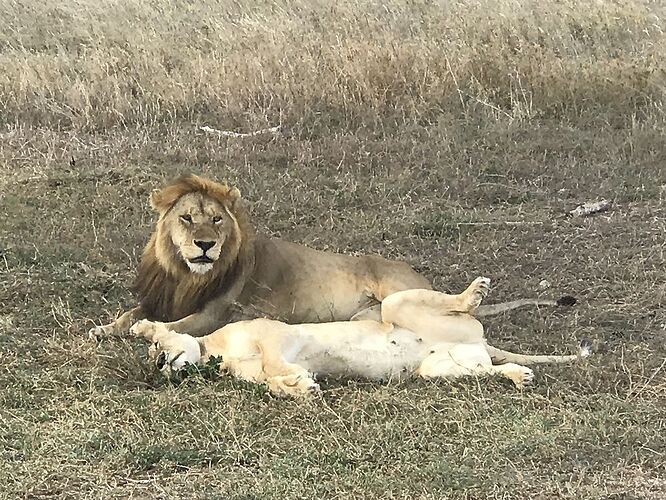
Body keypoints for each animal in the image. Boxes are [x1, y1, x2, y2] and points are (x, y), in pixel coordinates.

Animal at [88, 173, 572, 340]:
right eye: (187, 219)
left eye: (217, 220)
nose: (205, 245)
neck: (187, 274)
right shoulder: (161, 296)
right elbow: (129, 312)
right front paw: (104, 328)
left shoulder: (216, 312)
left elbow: (177, 325)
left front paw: (150, 330)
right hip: (368, 315)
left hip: (396, 291)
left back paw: (470, 296)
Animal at [132, 276, 588, 396]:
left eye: (155, 346)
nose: (159, 365)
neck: (217, 352)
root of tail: (480, 341)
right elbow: (274, 383)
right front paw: (301, 388)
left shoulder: (272, 334)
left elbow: (276, 362)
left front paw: (299, 383)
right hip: (440, 368)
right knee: (490, 369)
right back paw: (517, 376)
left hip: (394, 305)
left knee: (457, 302)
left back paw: (474, 291)